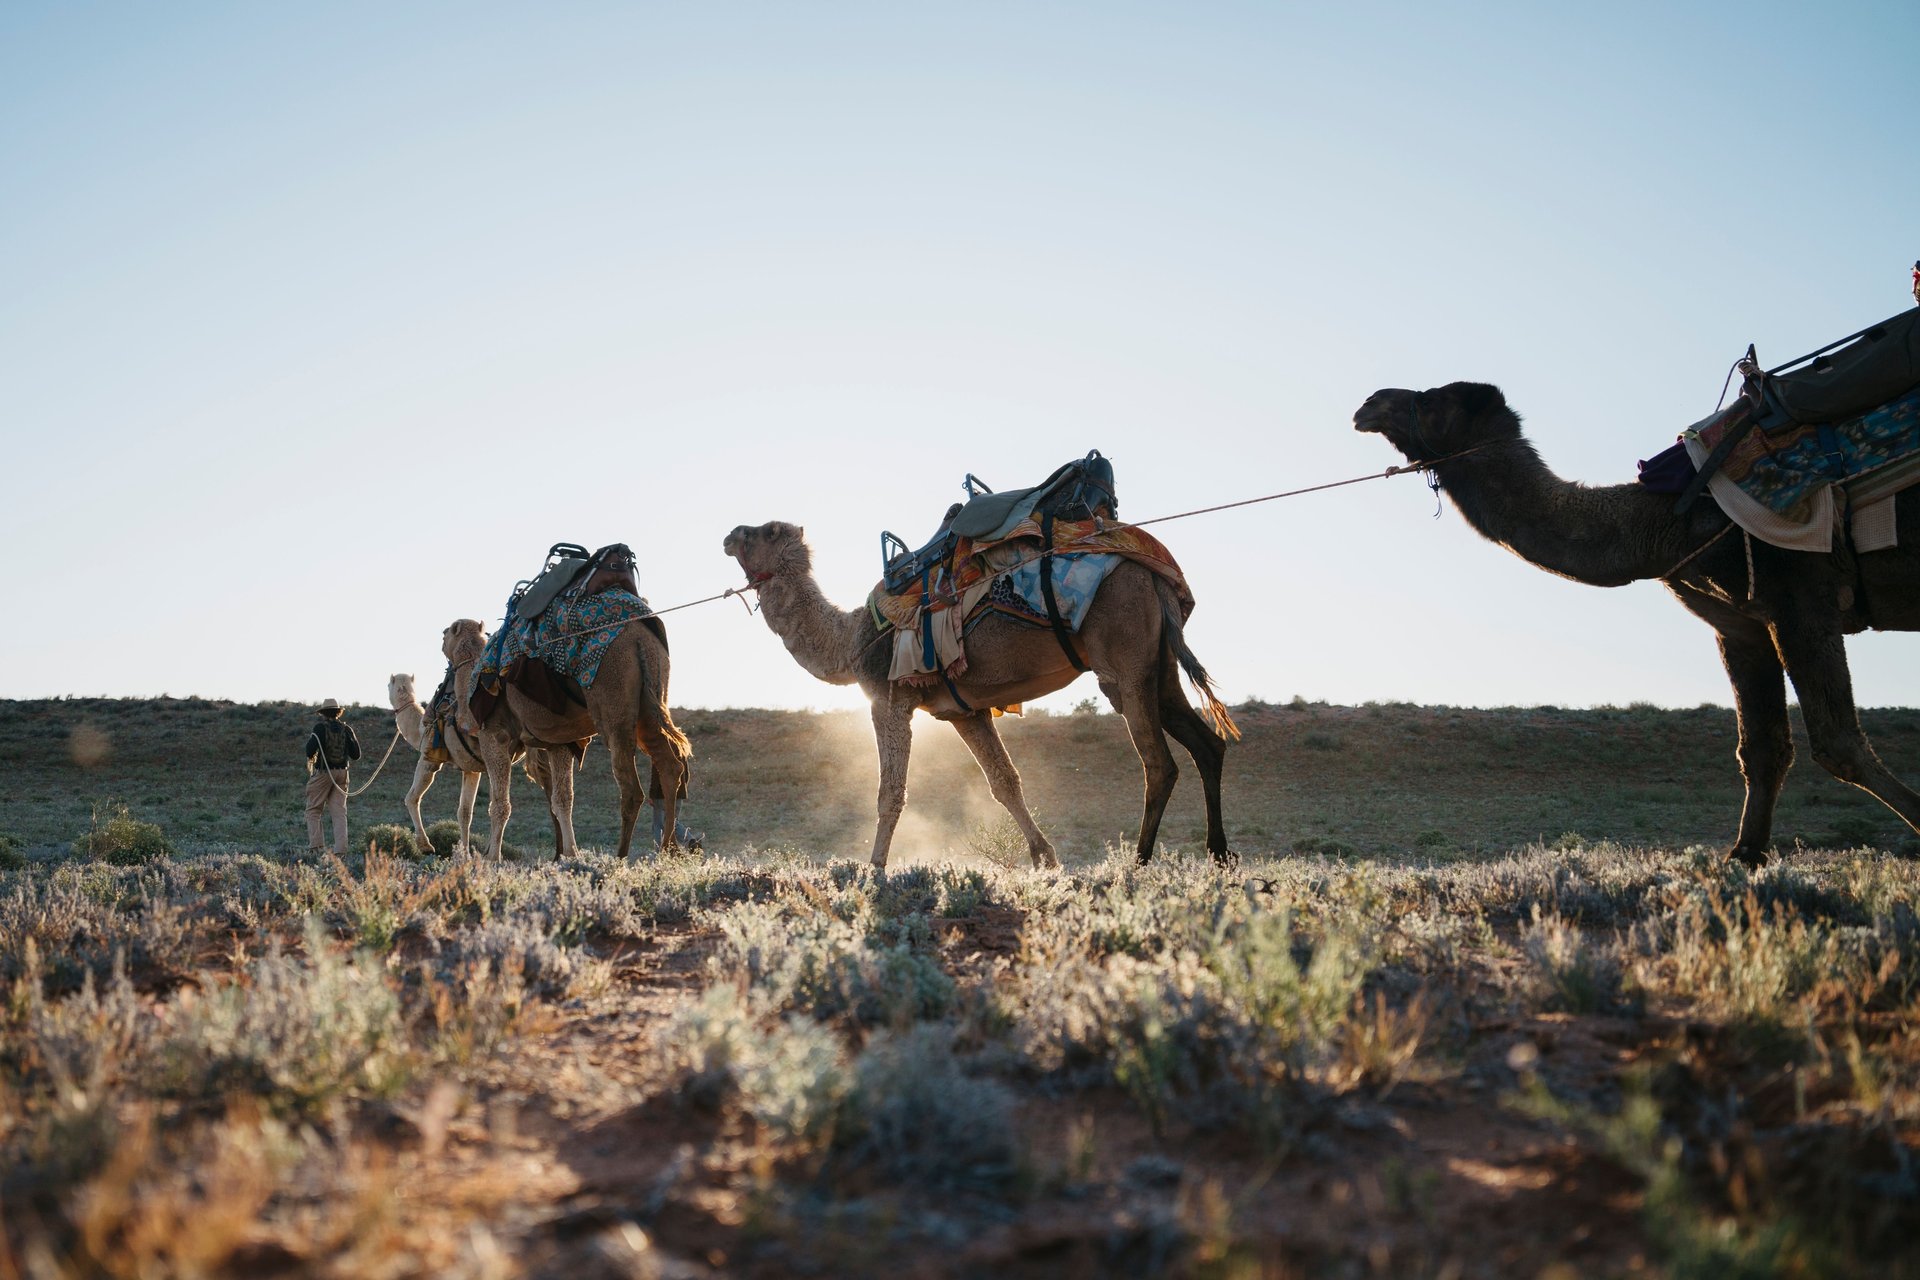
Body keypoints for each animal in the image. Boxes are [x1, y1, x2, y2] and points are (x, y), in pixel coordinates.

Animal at [448, 611, 690, 861]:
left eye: (446, 633)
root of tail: (640, 640)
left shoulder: (494, 734)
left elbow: (499, 804)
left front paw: (492, 859)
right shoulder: (558, 743)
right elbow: (562, 799)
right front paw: (567, 854)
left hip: (614, 703)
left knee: (631, 788)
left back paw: (620, 857)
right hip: (651, 700)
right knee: (670, 766)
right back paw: (669, 849)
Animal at [723, 521, 1236, 870]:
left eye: (766, 530)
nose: (729, 534)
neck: (851, 641)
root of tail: (1154, 575)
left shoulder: (889, 700)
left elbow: (890, 792)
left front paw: (874, 868)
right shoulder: (964, 712)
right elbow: (1004, 782)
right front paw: (1044, 857)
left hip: (1123, 659)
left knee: (1158, 763)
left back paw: (1140, 863)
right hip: (1159, 662)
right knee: (1207, 744)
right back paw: (1219, 855)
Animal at [1354, 382, 1920, 865]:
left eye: (1430, 399)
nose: (1369, 402)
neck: (1670, 519)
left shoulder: (1800, 595)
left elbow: (1838, 740)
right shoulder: (1741, 624)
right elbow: (1763, 747)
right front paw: (1742, 858)